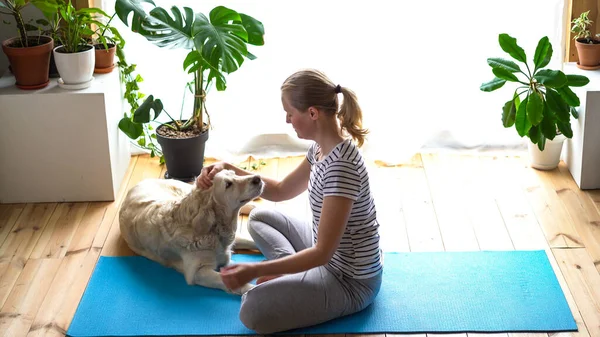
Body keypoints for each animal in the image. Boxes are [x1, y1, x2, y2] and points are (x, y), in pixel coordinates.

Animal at [118, 169, 264, 292]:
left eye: (235, 173)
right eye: (228, 184)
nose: (258, 178)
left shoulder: (232, 236)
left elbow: (253, 242)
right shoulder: (198, 272)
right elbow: (228, 280)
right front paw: (252, 289)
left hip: (184, 188)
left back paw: (254, 206)